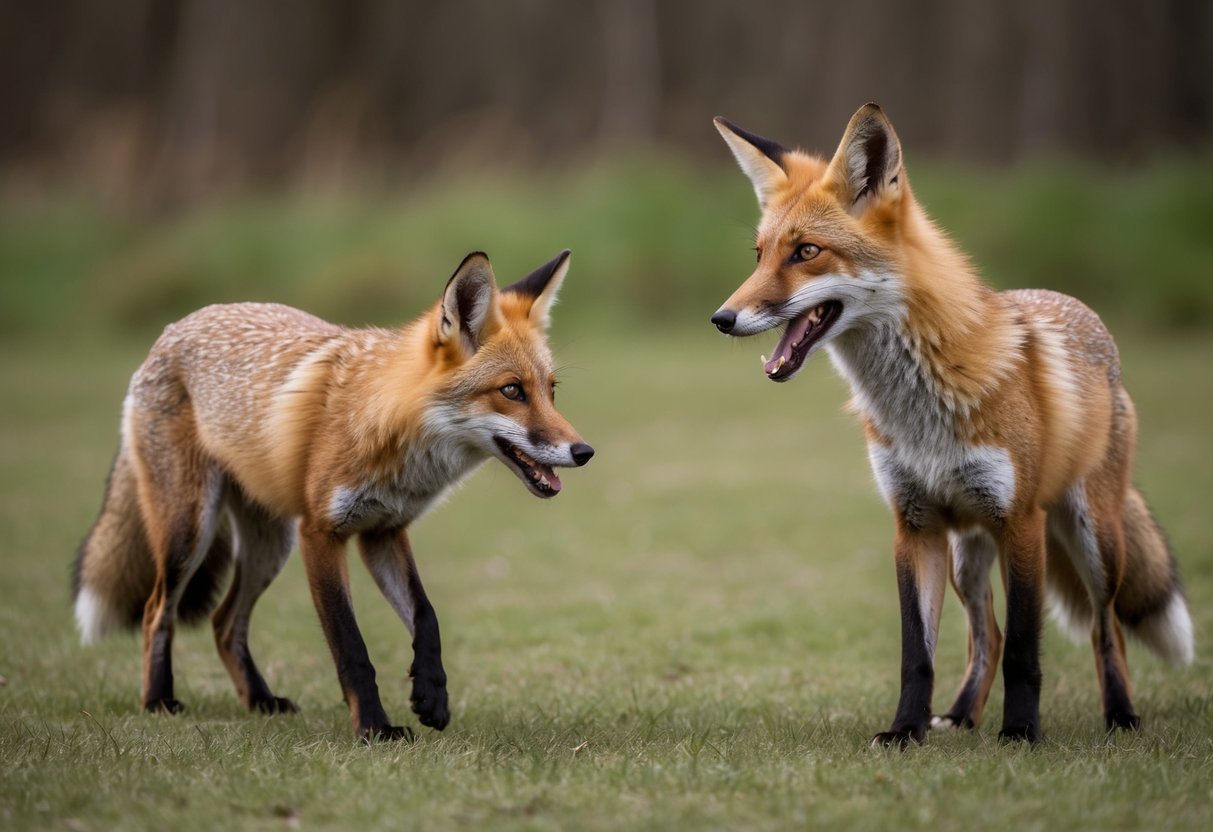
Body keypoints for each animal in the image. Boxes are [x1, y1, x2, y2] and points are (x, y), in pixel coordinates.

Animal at [73, 250, 595, 740]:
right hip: (191, 529)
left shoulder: (384, 532)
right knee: (156, 611)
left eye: (551, 391)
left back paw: (259, 700)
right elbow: (351, 646)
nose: (584, 451)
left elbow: (426, 617)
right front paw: (376, 729)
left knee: (223, 623)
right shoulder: (321, 533)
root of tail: (173, 328)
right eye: (512, 391)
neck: (388, 429)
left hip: (269, 545)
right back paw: (159, 699)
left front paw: (431, 694)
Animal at [709, 103, 1193, 745]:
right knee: (985, 637)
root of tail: (1081, 311)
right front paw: (904, 731)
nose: (722, 318)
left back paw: (1121, 715)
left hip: (1093, 538)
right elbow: (920, 652)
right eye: (759, 255)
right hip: (968, 553)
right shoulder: (914, 524)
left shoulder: (1021, 522)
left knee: (1104, 626)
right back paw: (962, 715)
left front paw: (1022, 733)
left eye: (806, 252)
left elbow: (1026, 651)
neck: (922, 412)